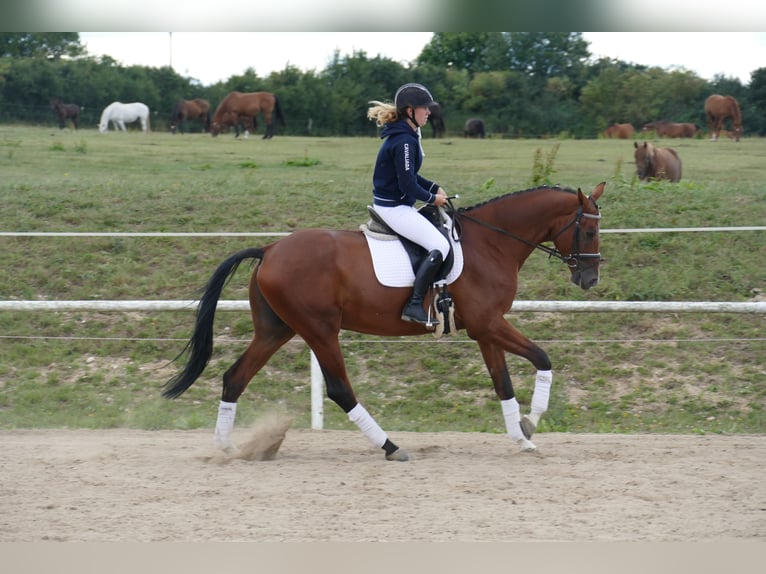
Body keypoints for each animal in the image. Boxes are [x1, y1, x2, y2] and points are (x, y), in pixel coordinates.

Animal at [163, 183, 605, 460]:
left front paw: (521, 436)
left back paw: (228, 449)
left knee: (235, 378)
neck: (492, 243)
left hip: (277, 330)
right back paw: (390, 447)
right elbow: (543, 358)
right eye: (587, 231)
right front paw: (533, 422)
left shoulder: (486, 329)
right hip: (319, 330)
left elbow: (503, 383)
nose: (590, 279)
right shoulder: (488, 324)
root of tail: (270, 249)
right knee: (340, 390)